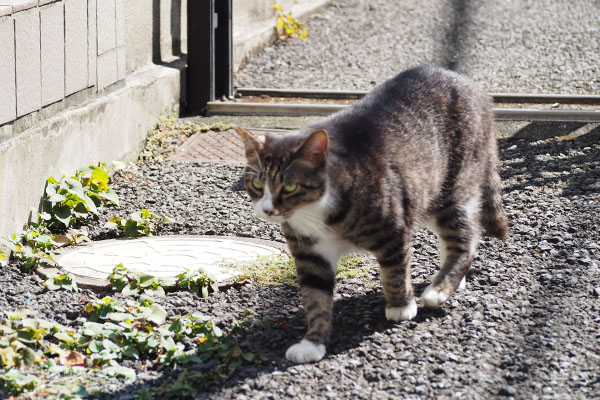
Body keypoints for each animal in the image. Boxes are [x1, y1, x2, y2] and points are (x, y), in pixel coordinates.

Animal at [237, 64, 508, 364]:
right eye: (257, 185)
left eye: (289, 186)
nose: (268, 209)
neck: (314, 213)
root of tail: (474, 88)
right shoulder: (310, 253)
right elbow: (315, 298)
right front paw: (312, 342)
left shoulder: (393, 230)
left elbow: (394, 272)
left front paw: (401, 306)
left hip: (453, 185)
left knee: (467, 238)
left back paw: (438, 291)